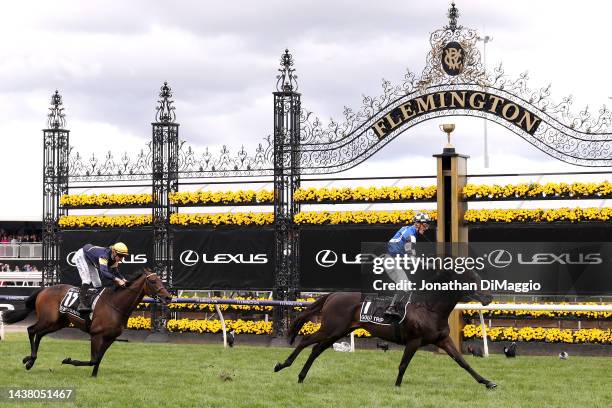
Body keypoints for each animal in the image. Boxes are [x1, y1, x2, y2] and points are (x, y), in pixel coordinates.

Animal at [2, 268, 172, 376]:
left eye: (161, 280)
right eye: (153, 281)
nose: (168, 297)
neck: (115, 304)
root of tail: (44, 289)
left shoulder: (110, 338)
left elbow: (98, 359)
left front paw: (94, 375)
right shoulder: (96, 335)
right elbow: (92, 360)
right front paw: (68, 360)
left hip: (58, 323)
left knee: (39, 334)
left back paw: (29, 359)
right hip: (48, 319)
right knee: (31, 330)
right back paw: (30, 360)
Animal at [274, 270, 494, 388]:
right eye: (471, 280)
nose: (489, 297)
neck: (429, 308)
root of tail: (333, 294)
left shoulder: (442, 339)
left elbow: (463, 362)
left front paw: (487, 382)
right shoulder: (414, 340)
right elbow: (403, 365)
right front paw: (397, 386)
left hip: (338, 332)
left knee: (316, 350)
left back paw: (301, 376)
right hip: (331, 328)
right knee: (305, 341)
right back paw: (282, 365)